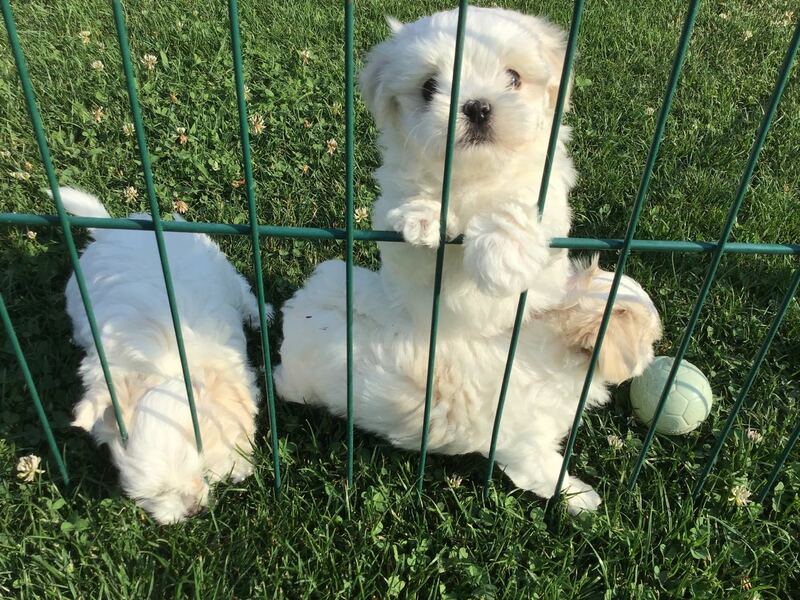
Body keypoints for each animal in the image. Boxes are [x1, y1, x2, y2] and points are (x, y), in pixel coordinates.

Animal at [61, 187, 263, 524]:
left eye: (203, 473)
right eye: (156, 494)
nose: (192, 510)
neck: (163, 369)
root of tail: (112, 230)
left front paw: (240, 463)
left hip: (213, 261)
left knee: (239, 289)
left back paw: (260, 314)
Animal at [275, 258, 661, 513]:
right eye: (649, 339)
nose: (655, 352)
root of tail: (303, 306)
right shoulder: (527, 450)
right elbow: (552, 474)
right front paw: (584, 499)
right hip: (303, 384)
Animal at [361, 7, 577, 336]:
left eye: (513, 78)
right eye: (428, 88)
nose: (477, 108)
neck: (472, 175)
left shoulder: (548, 196)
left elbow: (518, 200)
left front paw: (501, 254)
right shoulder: (394, 244)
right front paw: (421, 217)